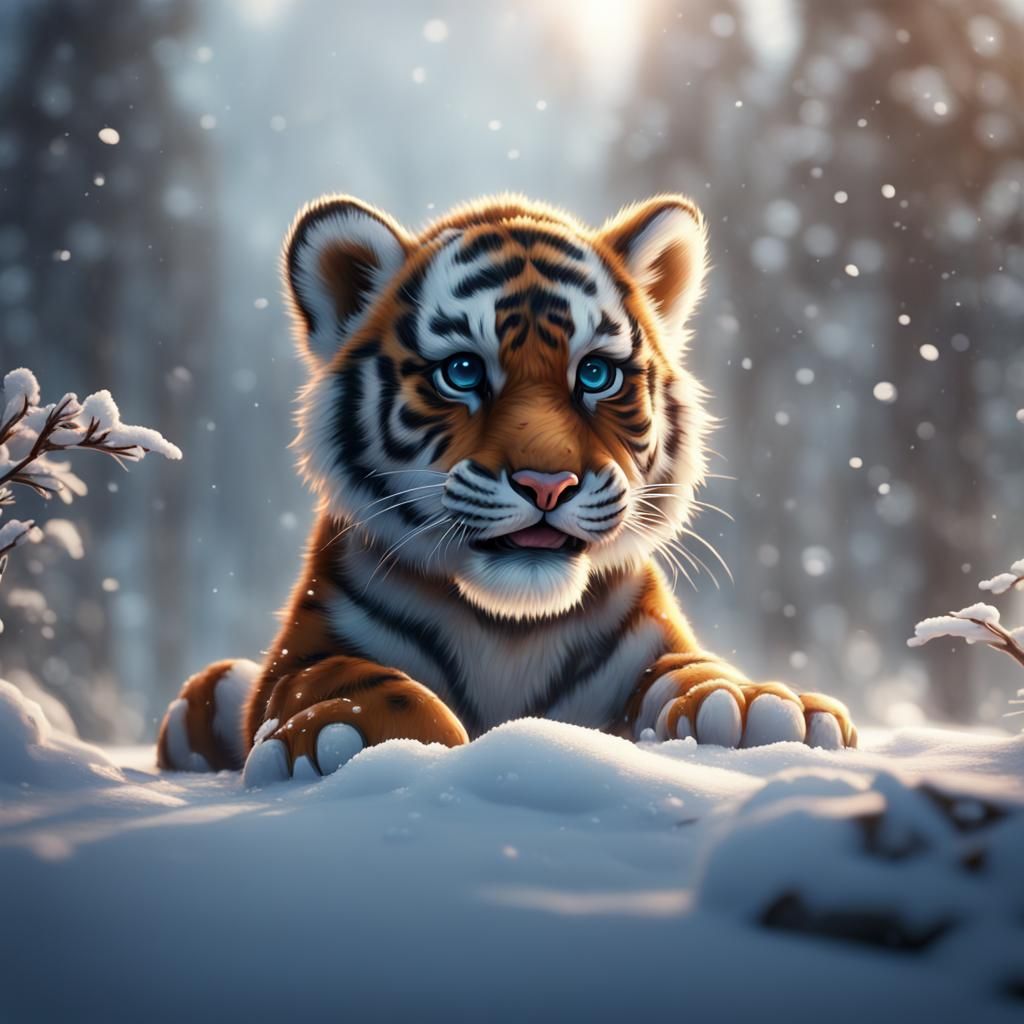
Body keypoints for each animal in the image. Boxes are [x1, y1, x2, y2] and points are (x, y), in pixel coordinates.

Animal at [156, 192, 856, 785]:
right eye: (463, 371)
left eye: (595, 374)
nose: (548, 483)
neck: (509, 629)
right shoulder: (307, 645)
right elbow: (343, 674)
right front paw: (349, 735)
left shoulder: (652, 641)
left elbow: (694, 667)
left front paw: (756, 706)